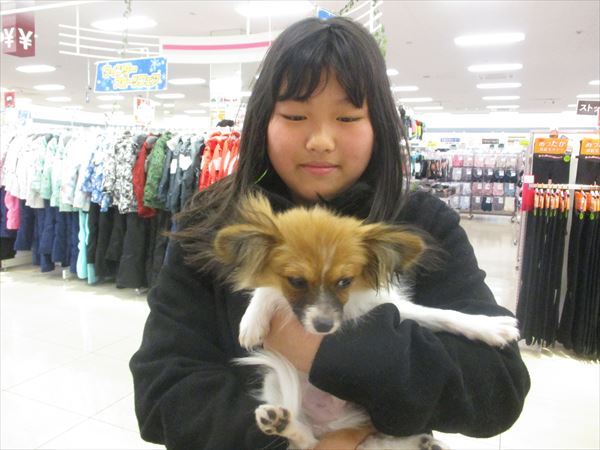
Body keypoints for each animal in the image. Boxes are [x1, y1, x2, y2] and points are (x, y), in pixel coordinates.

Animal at [213, 193, 520, 449]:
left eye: (344, 282)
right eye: (297, 281)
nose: (324, 326)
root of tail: (332, 423)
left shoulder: (393, 307)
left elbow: (444, 315)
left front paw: (489, 326)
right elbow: (266, 288)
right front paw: (252, 320)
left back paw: (419, 443)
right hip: (275, 383)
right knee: (308, 440)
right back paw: (282, 422)